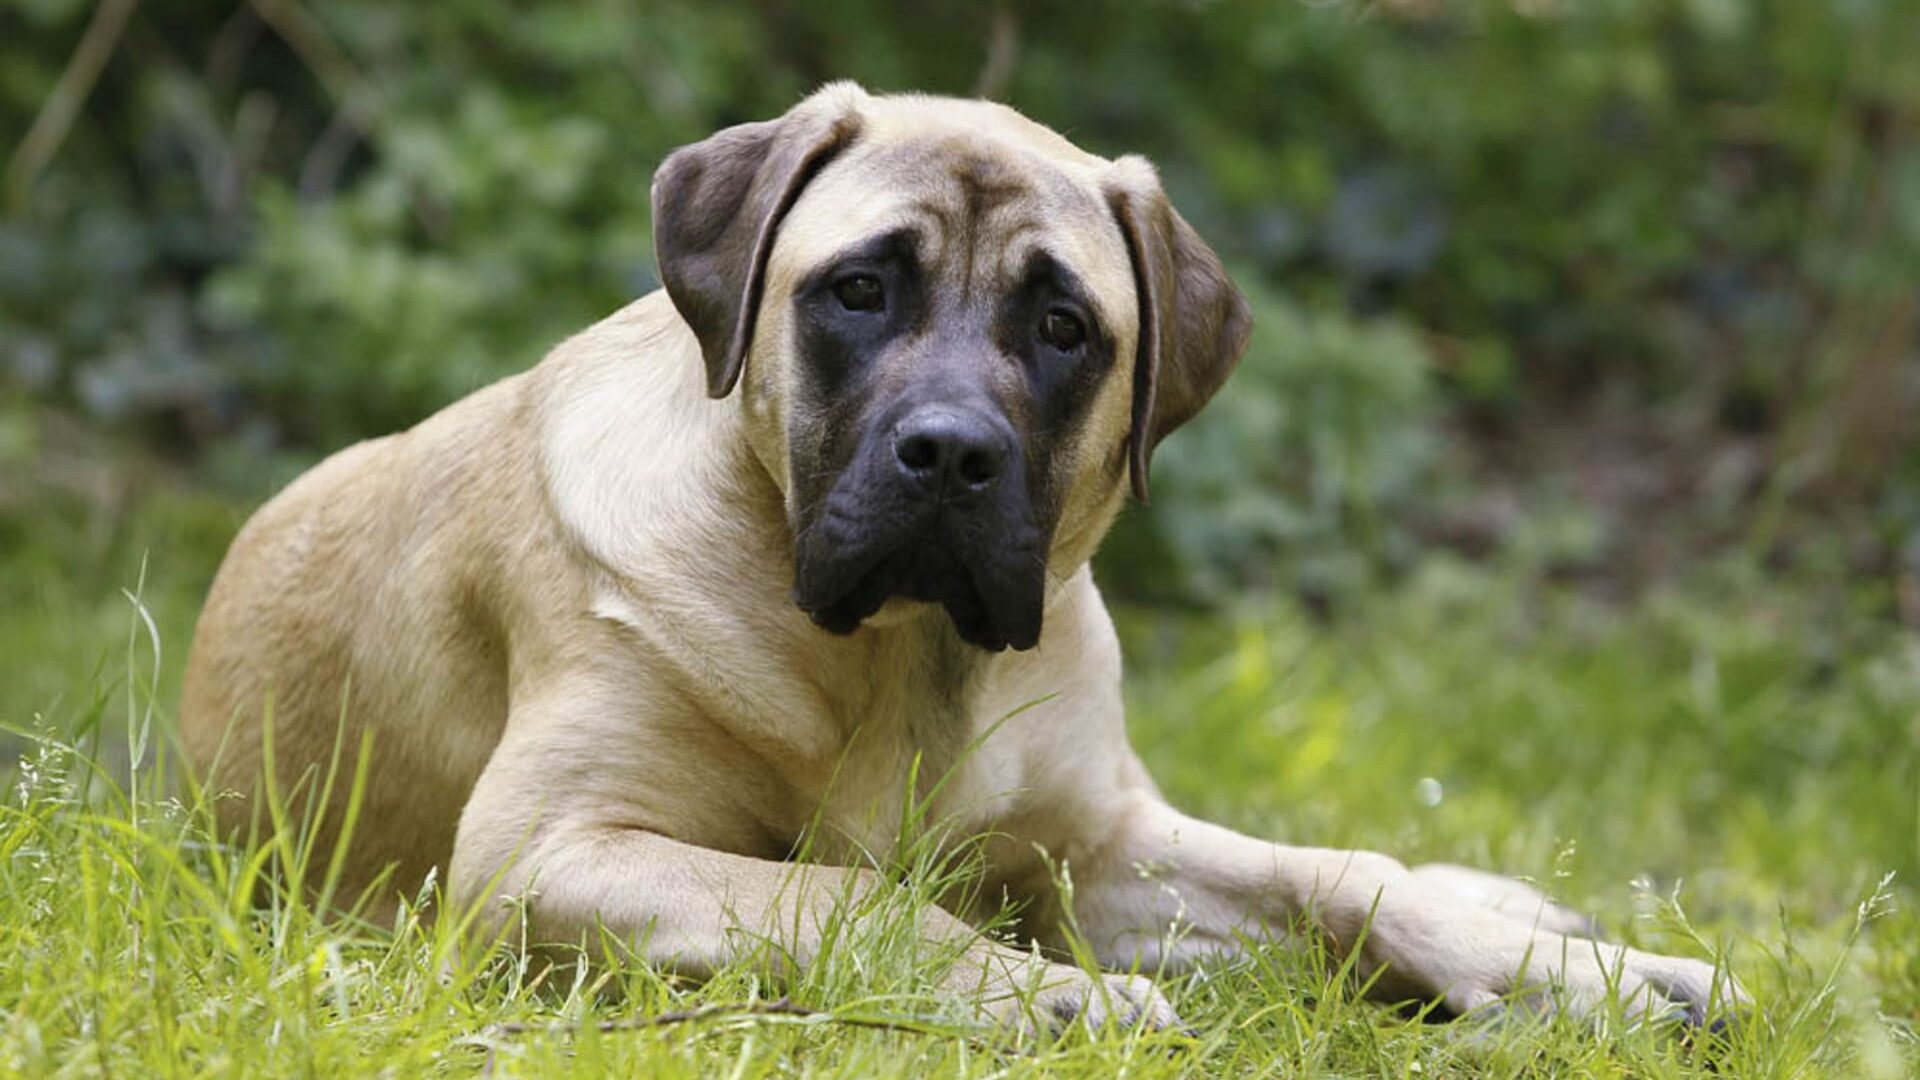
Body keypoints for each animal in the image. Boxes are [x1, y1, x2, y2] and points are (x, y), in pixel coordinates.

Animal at [187, 82, 1751, 1022]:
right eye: (858, 291)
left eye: (1063, 327)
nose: (948, 455)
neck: (904, 659)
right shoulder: (547, 852)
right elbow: (836, 888)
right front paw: (1045, 995)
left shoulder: (1102, 846)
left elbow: (1335, 881)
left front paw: (1587, 979)